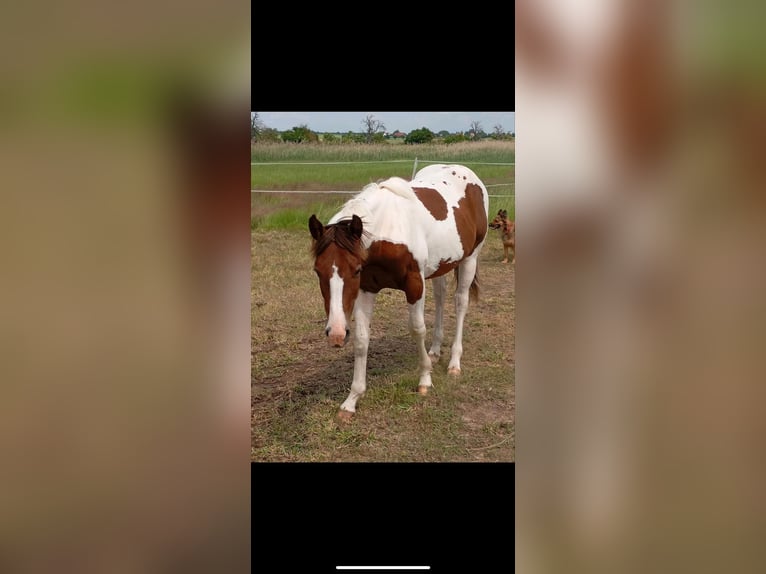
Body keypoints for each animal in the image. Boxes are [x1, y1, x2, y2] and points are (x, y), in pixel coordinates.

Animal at [308, 164, 489, 420]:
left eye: (355, 270)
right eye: (317, 271)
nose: (336, 335)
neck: (388, 231)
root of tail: (469, 175)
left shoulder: (414, 285)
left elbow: (417, 329)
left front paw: (425, 379)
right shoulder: (366, 289)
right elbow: (362, 339)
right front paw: (351, 400)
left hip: (469, 259)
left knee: (460, 303)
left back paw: (454, 363)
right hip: (441, 265)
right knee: (441, 298)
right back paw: (435, 351)